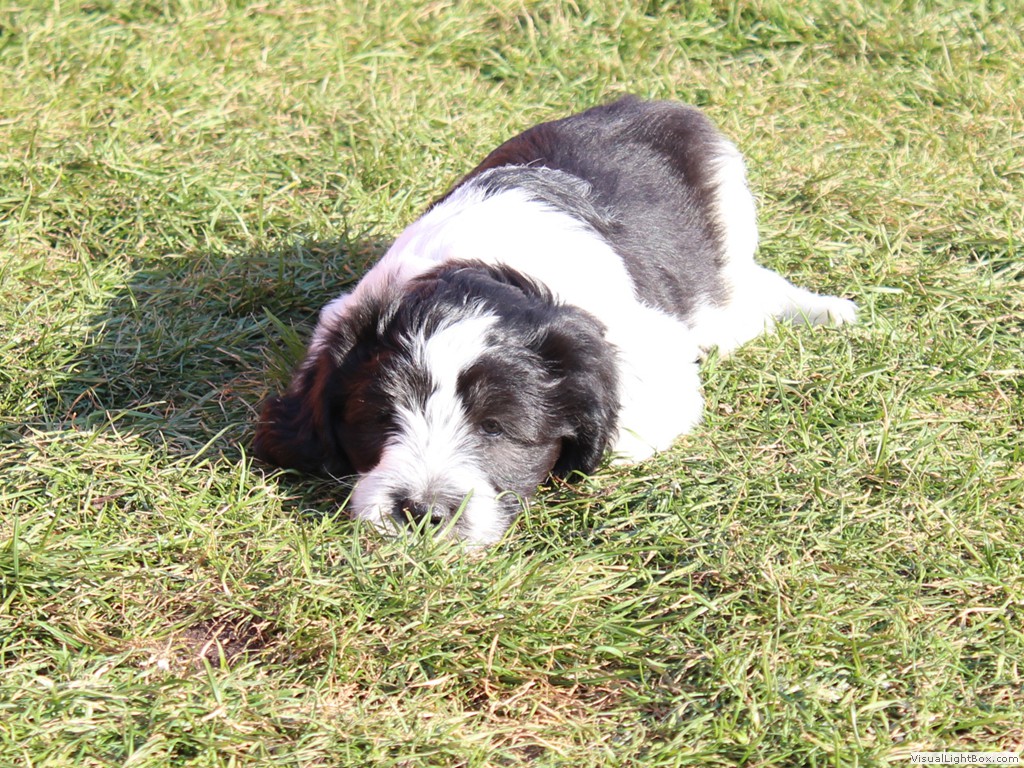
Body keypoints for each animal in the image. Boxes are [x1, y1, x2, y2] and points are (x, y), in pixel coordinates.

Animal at [253, 96, 856, 545]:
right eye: (381, 418)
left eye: (495, 428)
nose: (422, 512)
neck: (487, 266)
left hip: (728, 209)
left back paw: (826, 311)